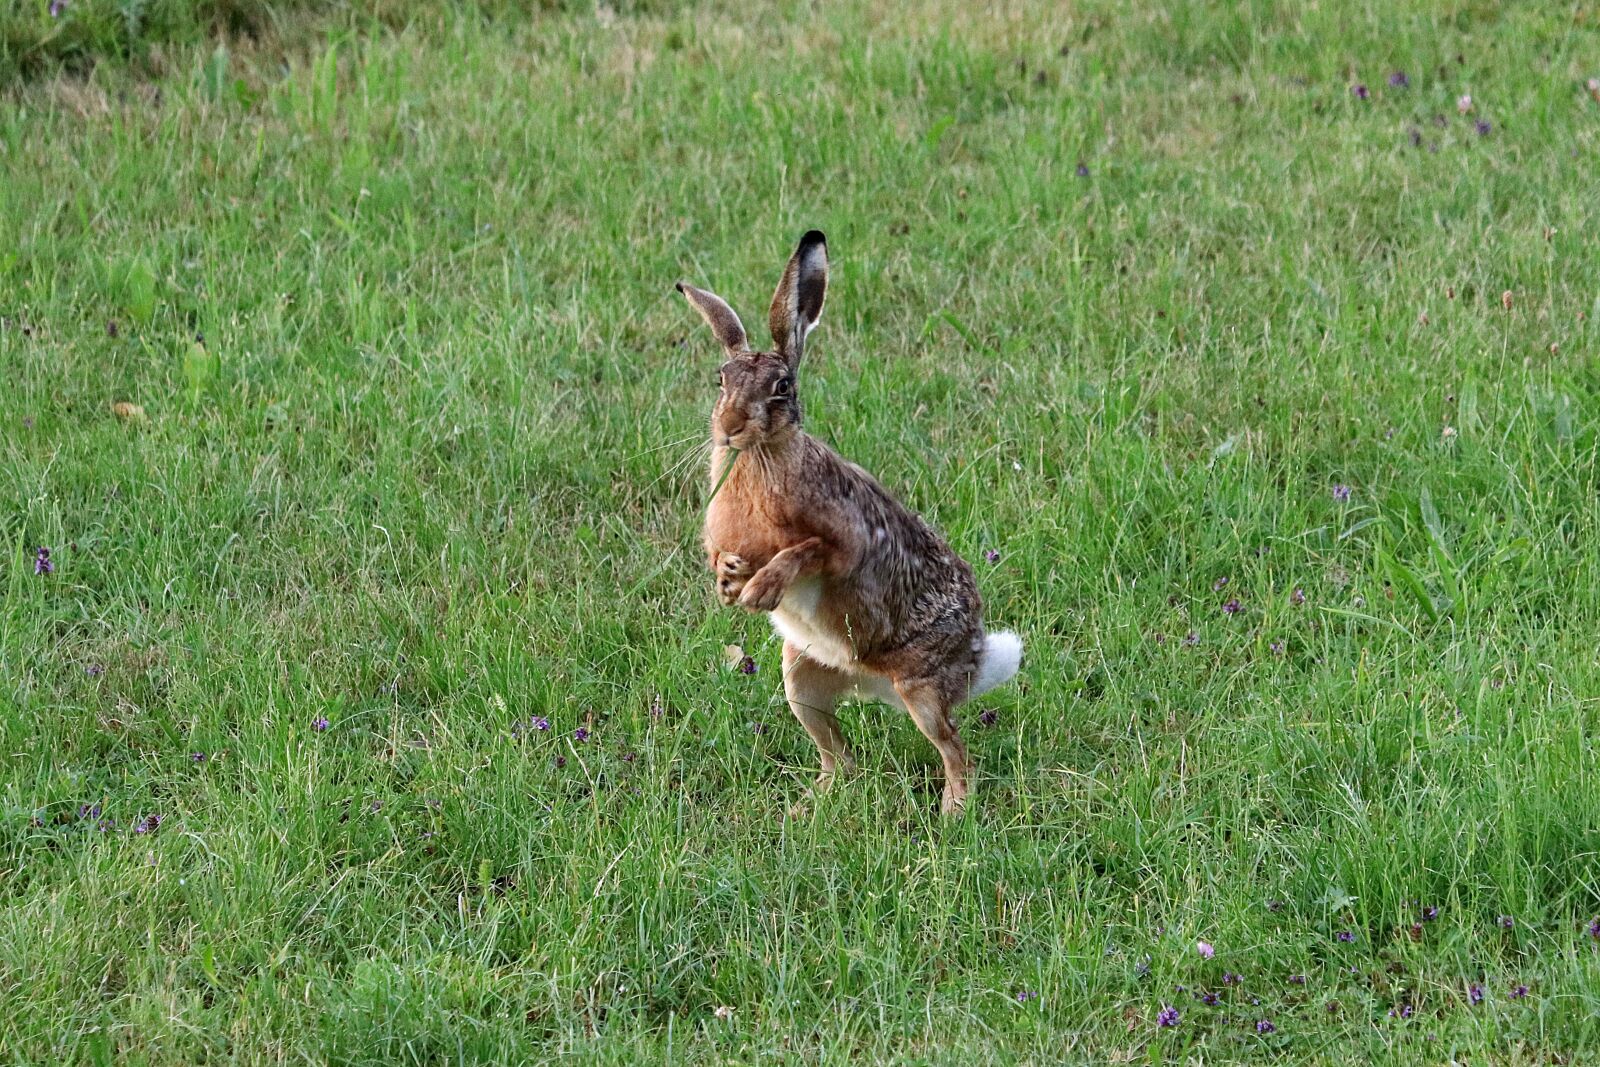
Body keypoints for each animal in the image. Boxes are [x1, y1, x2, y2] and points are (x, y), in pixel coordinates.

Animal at [675, 229, 1022, 813]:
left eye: (781, 388)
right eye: (720, 379)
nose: (729, 427)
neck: (762, 457)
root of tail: (973, 660)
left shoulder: (846, 542)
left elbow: (808, 549)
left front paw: (762, 590)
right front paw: (727, 581)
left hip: (922, 692)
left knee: (955, 752)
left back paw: (952, 813)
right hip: (801, 681)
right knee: (839, 756)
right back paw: (810, 806)